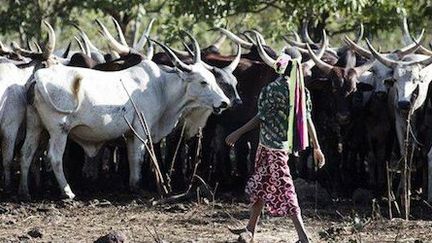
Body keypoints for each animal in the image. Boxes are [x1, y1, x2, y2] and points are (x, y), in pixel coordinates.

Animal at [17, 37, 230, 199]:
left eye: (213, 79)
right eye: (203, 82)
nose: (225, 102)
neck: (160, 86)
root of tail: (38, 77)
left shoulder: (129, 135)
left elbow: (132, 158)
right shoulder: (141, 131)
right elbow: (138, 157)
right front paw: (137, 187)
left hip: (35, 126)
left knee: (26, 153)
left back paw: (25, 192)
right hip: (59, 130)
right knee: (54, 158)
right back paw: (67, 192)